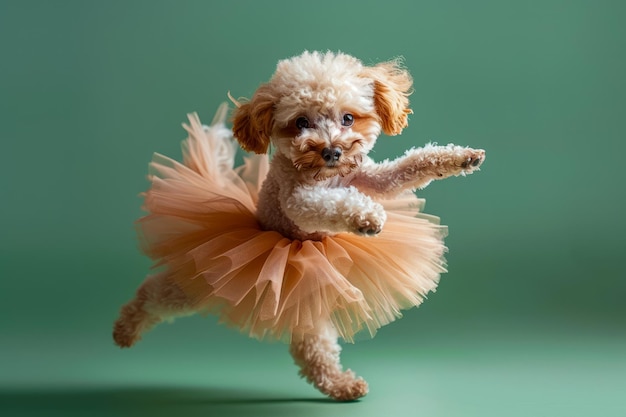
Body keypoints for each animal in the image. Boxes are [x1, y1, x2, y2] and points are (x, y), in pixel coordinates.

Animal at [112, 51, 482, 400]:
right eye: (301, 122)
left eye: (348, 118)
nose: (331, 151)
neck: (326, 176)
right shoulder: (298, 201)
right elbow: (329, 203)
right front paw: (367, 217)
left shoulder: (371, 179)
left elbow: (409, 165)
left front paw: (462, 158)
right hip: (203, 279)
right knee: (156, 294)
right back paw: (125, 330)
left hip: (310, 291)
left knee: (312, 344)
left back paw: (339, 384)